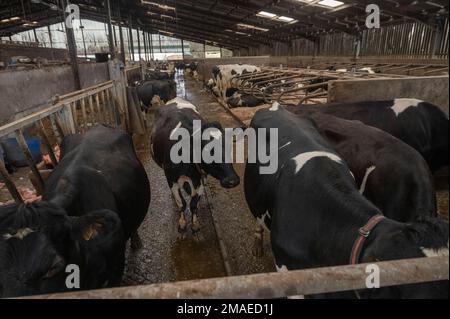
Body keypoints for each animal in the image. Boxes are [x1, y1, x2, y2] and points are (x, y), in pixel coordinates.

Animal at [151, 97, 241, 235]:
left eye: (230, 147)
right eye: (208, 150)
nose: (233, 180)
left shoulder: (198, 178)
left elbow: (193, 204)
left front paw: (195, 223)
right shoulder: (171, 178)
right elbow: (182, 203)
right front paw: (182, 223)